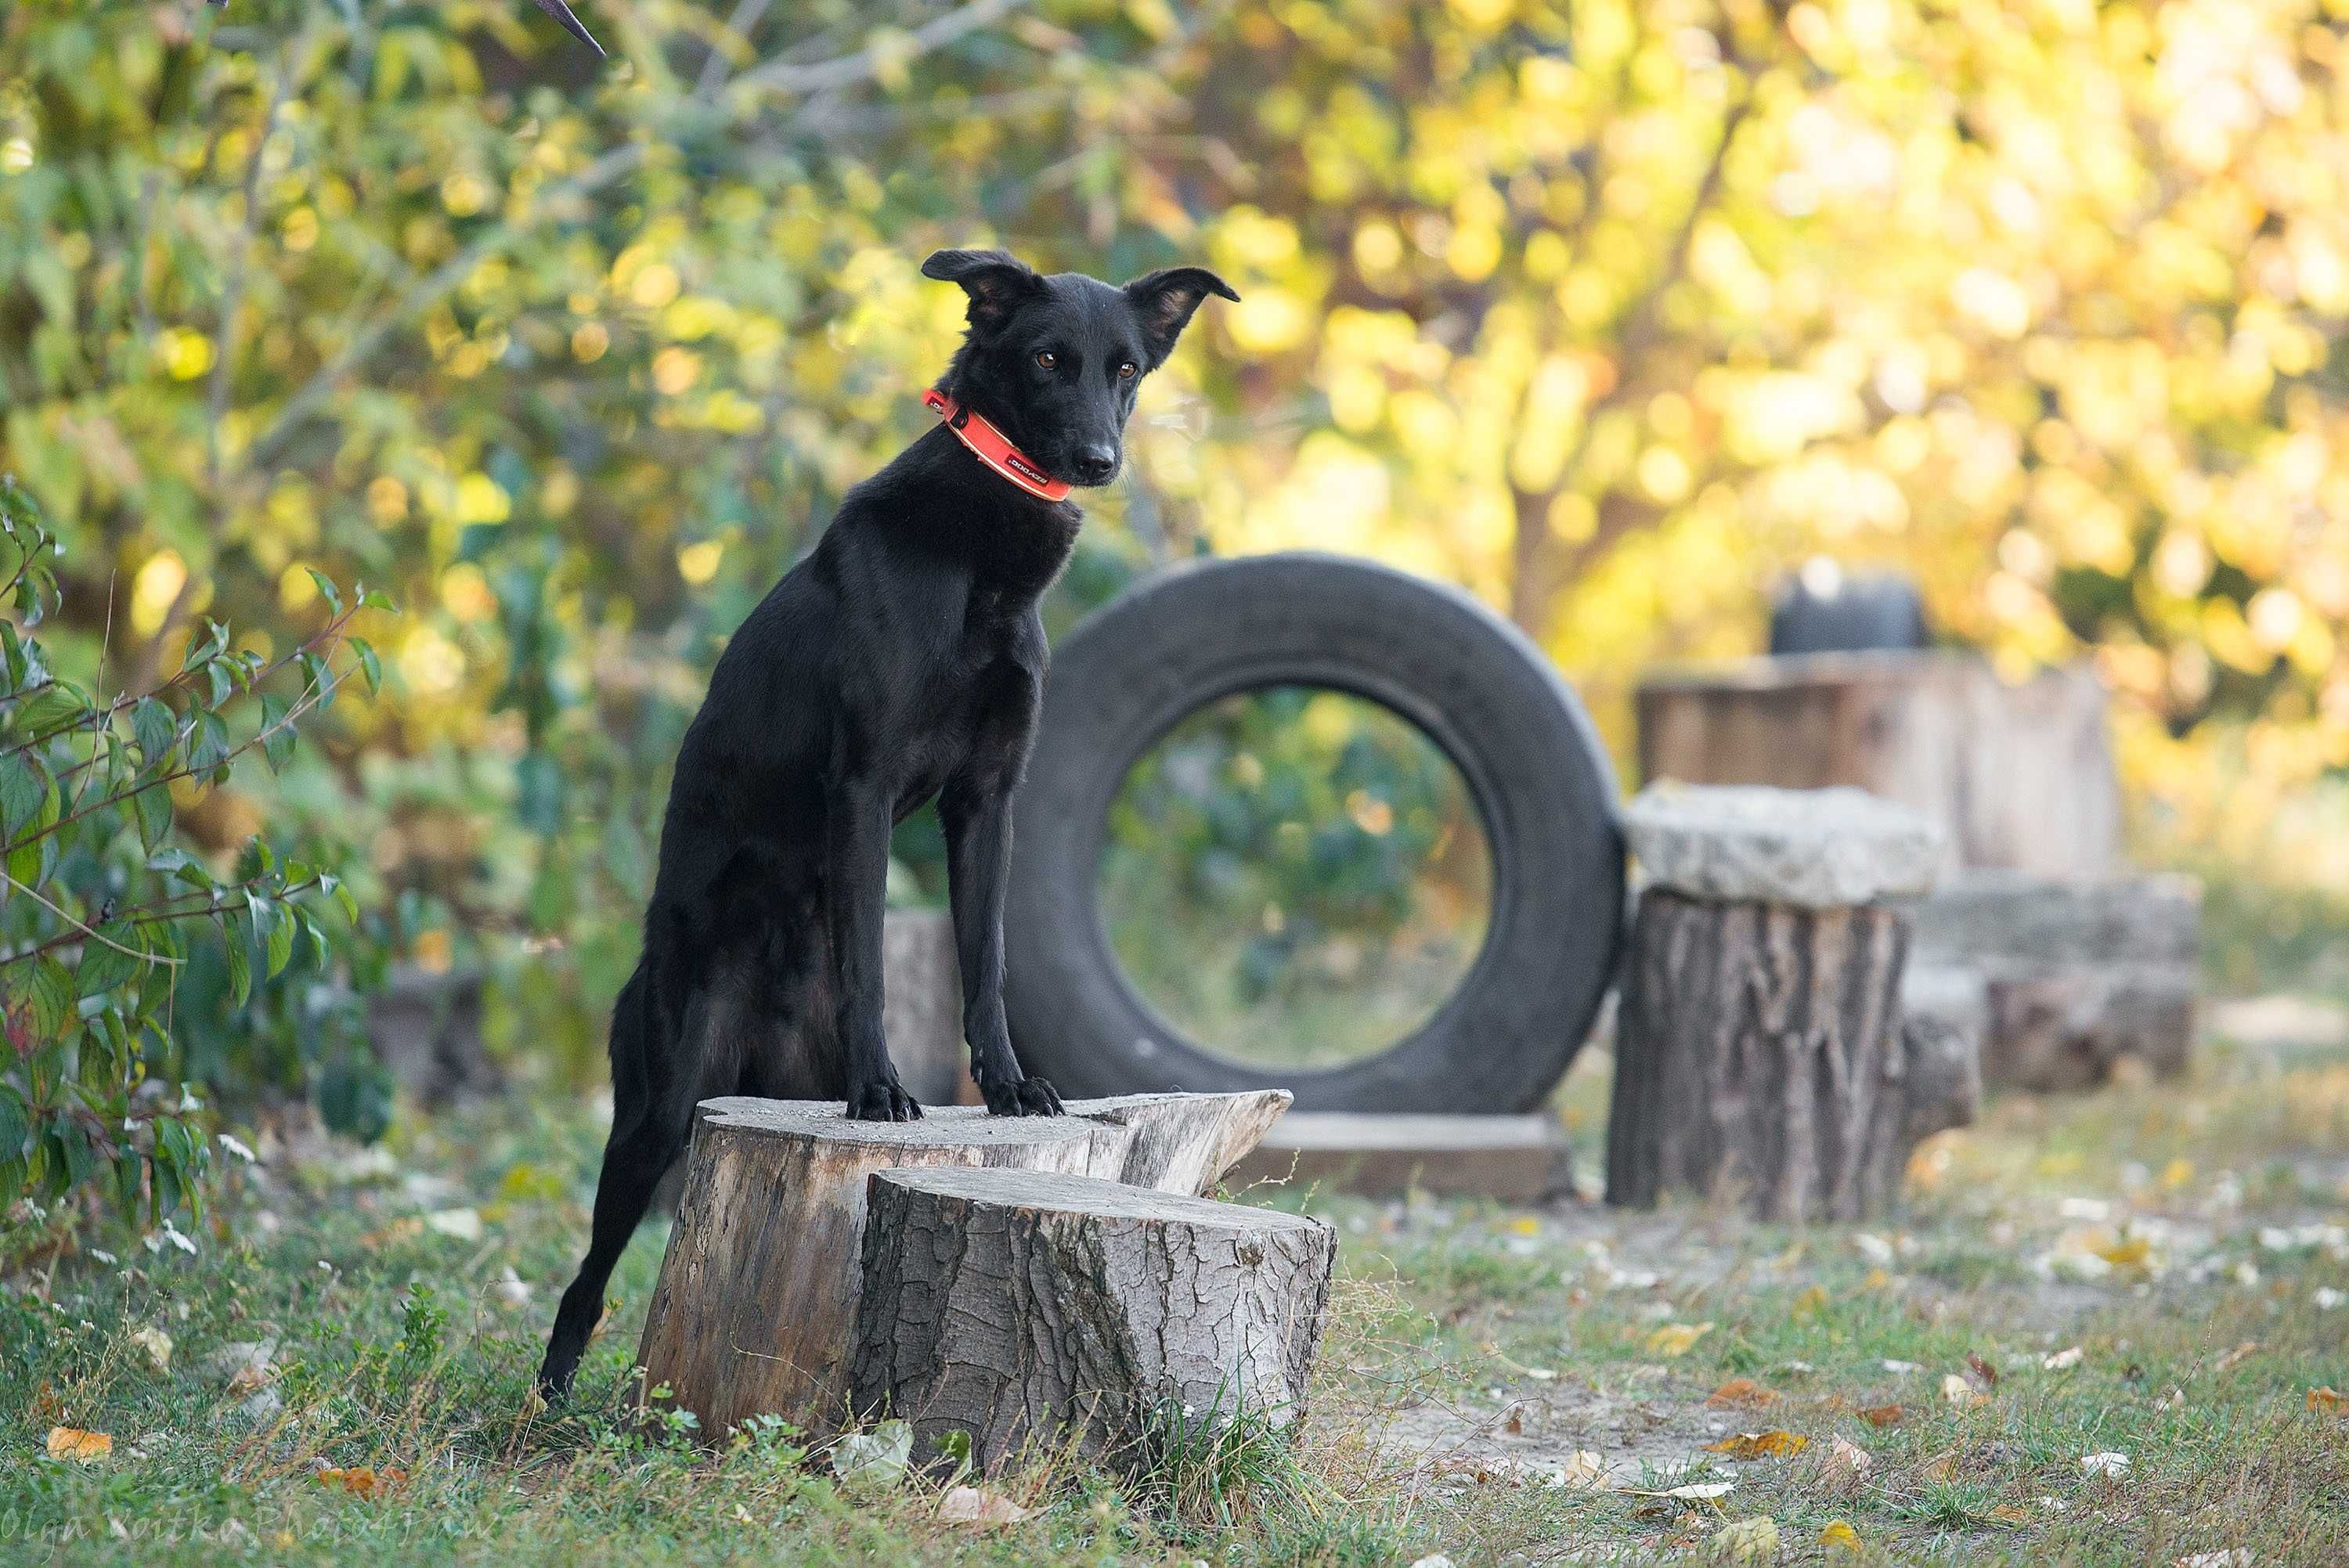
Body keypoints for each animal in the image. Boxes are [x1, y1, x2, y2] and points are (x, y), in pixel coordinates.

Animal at [533, 245, 1231, 1399]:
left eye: (1126, 367)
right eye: (1049, 359)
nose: (1097, 459)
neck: (981, 558)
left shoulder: (988, 799)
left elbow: (986, 957)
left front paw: (1009, 1086)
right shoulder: (861, 788)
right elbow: (867, 949)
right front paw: (879, 1087)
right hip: (658, 1106)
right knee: (585, 1275)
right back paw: (549, 1390)